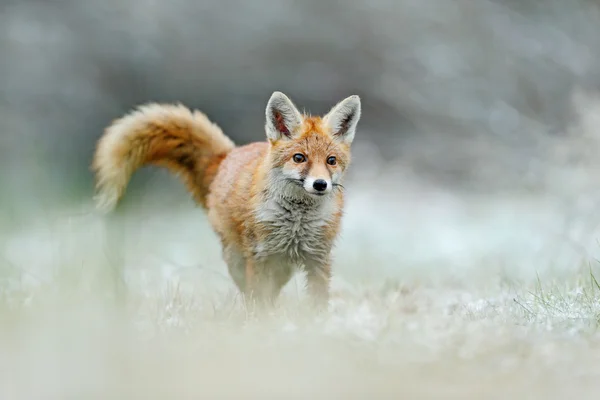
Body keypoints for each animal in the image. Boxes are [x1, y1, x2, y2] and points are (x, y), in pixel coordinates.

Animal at [90, 92, 360, 308]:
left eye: (331, 161)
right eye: (299, 158)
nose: (320, 184)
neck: (296, 222)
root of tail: (227, 156)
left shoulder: (318, 259)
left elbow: (317, 303)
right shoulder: (259, 257)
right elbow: (259, 300)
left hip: (282, 267)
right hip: (239, 259)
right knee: (250, 292)